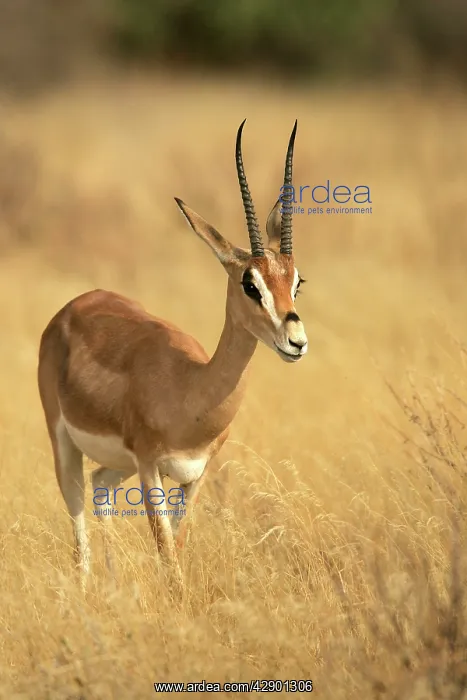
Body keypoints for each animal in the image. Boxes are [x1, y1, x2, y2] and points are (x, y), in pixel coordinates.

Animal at [37, 120, 308, 587]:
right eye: (250, 283)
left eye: (297, 281)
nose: (296, 341)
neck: (191, 391)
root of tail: (74, 306)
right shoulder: (150, 468)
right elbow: (166, 554)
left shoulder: (194, 476)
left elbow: (177, 546)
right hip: (63, 441)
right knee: (76, 513)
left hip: (118, 464)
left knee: (101, 484)